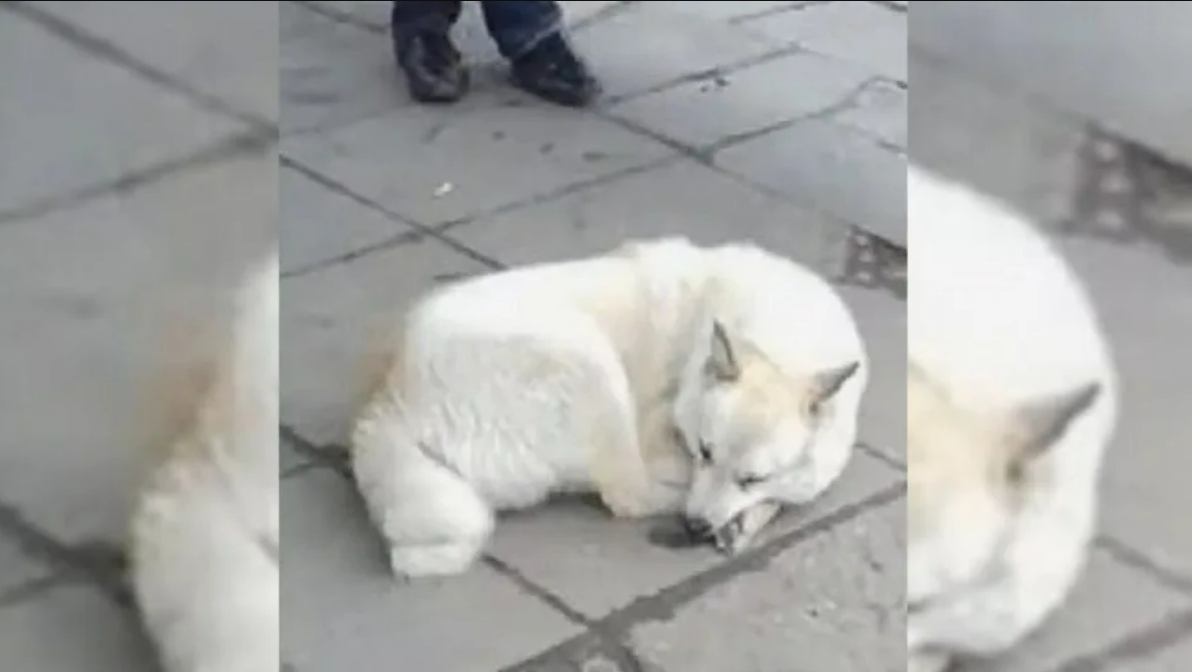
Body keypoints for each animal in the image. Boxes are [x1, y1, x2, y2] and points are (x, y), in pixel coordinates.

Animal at [345, 235, 867, 576]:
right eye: (703, 451)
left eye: (752, 477)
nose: (694, 526)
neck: (784, 338)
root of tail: (388, 402)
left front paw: (748, 516)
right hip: (588, 360)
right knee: (627, 494)